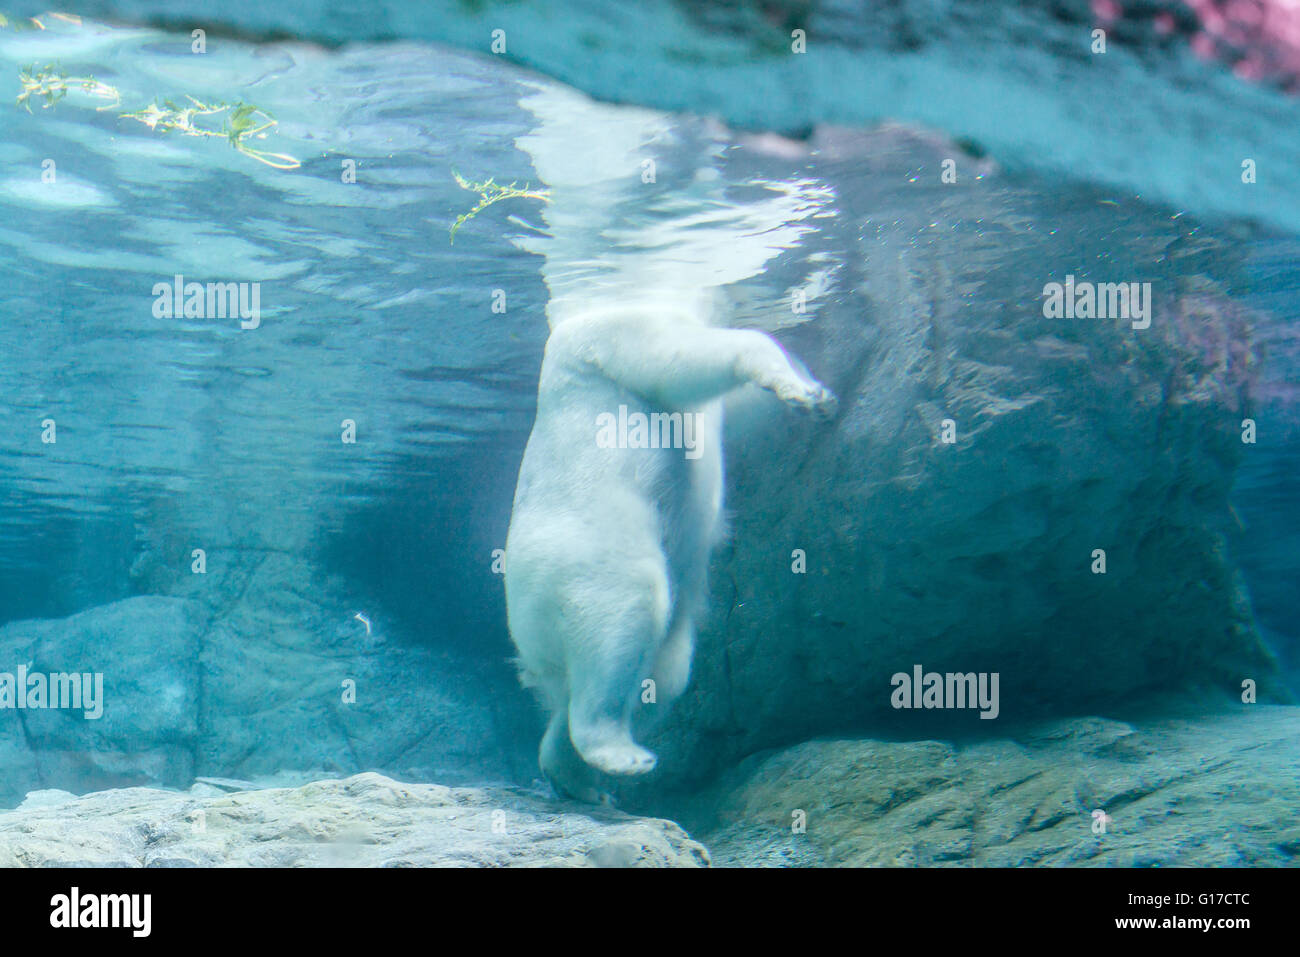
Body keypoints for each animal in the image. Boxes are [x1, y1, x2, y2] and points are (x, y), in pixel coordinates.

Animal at [501, 300, 826, 800]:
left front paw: (816, 391)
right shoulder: (609, 333)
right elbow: (675, 363)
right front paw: (797, 386)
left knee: (662, 677)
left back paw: (576, 778)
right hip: (571, 558)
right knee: (624, 613)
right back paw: (618, 753)